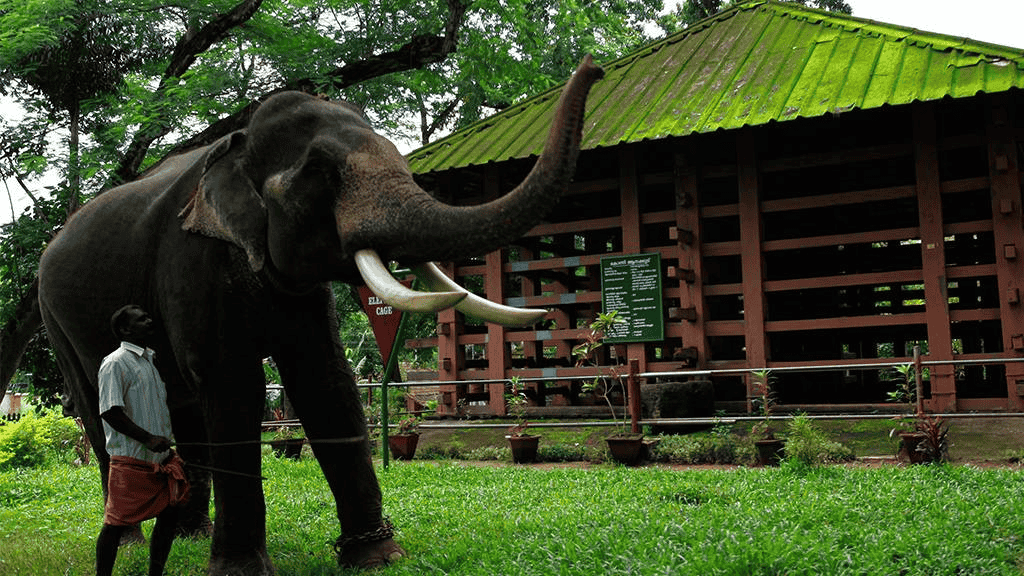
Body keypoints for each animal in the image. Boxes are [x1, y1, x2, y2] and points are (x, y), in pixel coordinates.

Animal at [36, 55, 603, 574]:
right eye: (322, 173)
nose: (593, 68)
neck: (238, 145)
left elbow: (325, 380)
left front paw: (376, 557)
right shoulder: (191, 261)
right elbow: (232, 384)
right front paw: (240, 571)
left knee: (182, 403)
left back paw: (189, 534)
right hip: (54, 316)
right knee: (98, 407)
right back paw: (133, 542)